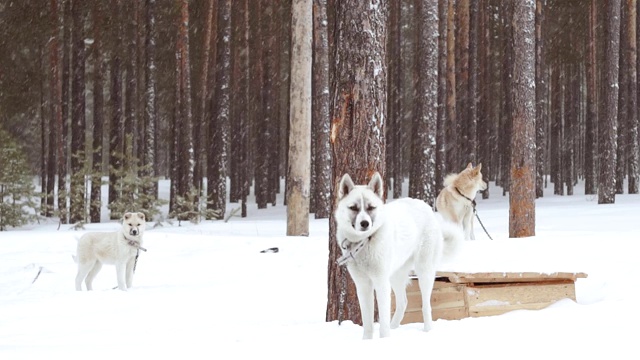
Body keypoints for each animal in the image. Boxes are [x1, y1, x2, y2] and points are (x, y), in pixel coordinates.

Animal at [336, 173, 460, 338]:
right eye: (353, 208)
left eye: (371, 207)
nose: (365, 223)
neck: (365, 242)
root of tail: (425, 206)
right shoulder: (363, 286)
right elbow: (368, 324)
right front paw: (367, 341)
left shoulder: (381, 283)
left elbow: (383, 323)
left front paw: (384, 339)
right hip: (395, 276)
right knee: (403, 302)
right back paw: (394, 327)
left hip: (424, 272)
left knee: (426, 306)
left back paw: (427, 331)